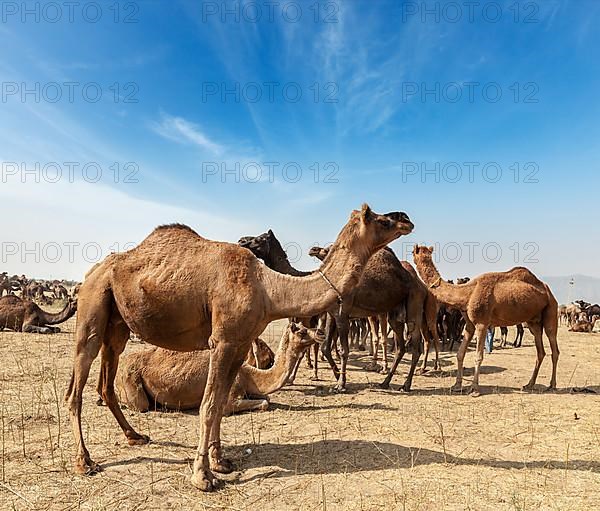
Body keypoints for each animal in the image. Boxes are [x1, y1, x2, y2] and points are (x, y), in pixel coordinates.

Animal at [116, 324, 324, 416]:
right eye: (302, 331)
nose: (320, 332)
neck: (248, 374)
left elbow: (267, 397)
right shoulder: (230, 399)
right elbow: (265, 402)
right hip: (132, 382)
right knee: (141, 405)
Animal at [414, 244, 560, 396]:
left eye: (416, 253)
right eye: (420, 253)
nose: (417, 257)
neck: (467, 293)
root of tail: (548, 291)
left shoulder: (482, 324)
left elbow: (479, 356)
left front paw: (474, 389)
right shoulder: (470, 325)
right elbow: (460, 354)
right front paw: (456, 385)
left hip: (551, 309)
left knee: (554, 347)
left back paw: (552, 385)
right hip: (533, 322)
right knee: (540, 351)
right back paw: (529, 384)